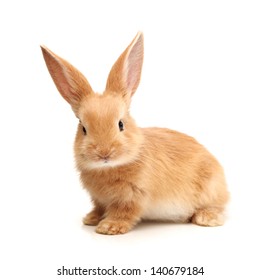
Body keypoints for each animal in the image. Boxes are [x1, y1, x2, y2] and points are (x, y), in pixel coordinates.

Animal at [41, 32, 230, 234]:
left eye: (121, 124)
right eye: (83, 128)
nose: (104, 153)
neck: (110, 167)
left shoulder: (133, 196)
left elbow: (124, 212)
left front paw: (109, 227)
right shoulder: (99, 199)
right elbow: (99, 207)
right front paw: (91, 219)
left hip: (210, 189)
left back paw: (206, 218)